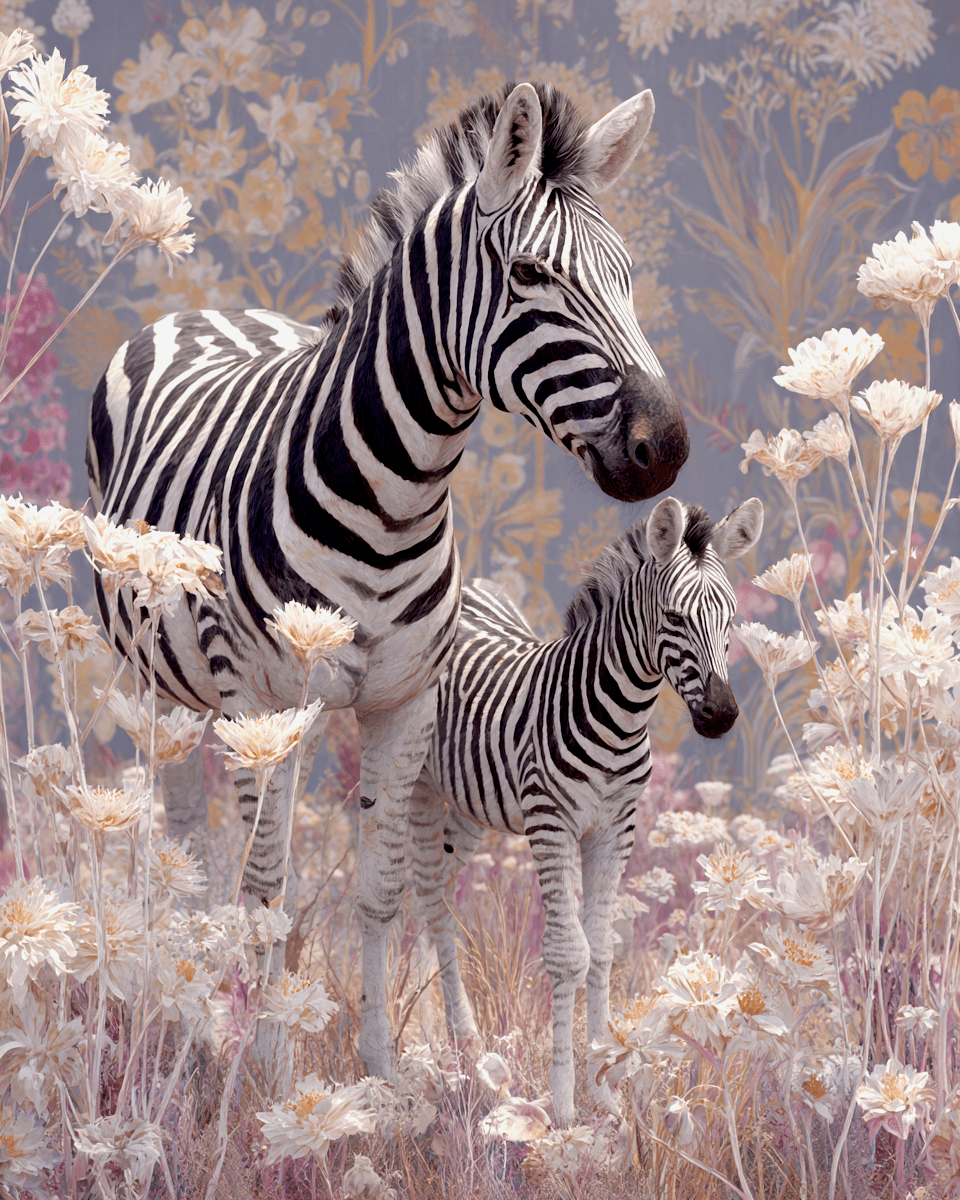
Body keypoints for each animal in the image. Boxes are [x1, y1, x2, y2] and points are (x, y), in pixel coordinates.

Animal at [86, 82, 690, 1081]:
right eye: (531, 274)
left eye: (627, 273)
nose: (668, 447)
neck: (395, 495)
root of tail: (209, 313)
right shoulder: (263, 701)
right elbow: (265, 885)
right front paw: (271, 1072)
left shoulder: (404, 702)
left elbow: (379, 888)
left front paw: (376, 1067)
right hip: (155, 680)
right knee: (177, 834)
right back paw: (183, 1009)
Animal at [410, 495, 763, 1124]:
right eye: (674, 619)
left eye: (730, 619)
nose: (721, 716)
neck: (622, 717)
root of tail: (467, 586)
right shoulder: (551, 823)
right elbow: (567, 955)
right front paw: (564, 1102)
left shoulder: (615, 828)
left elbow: (601, 949)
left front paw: (604, 1085)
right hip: (419, 783)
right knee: (414, 895)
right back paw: (439, 1041)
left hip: (471, 808)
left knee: (438, 897)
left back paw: (440, 1036)